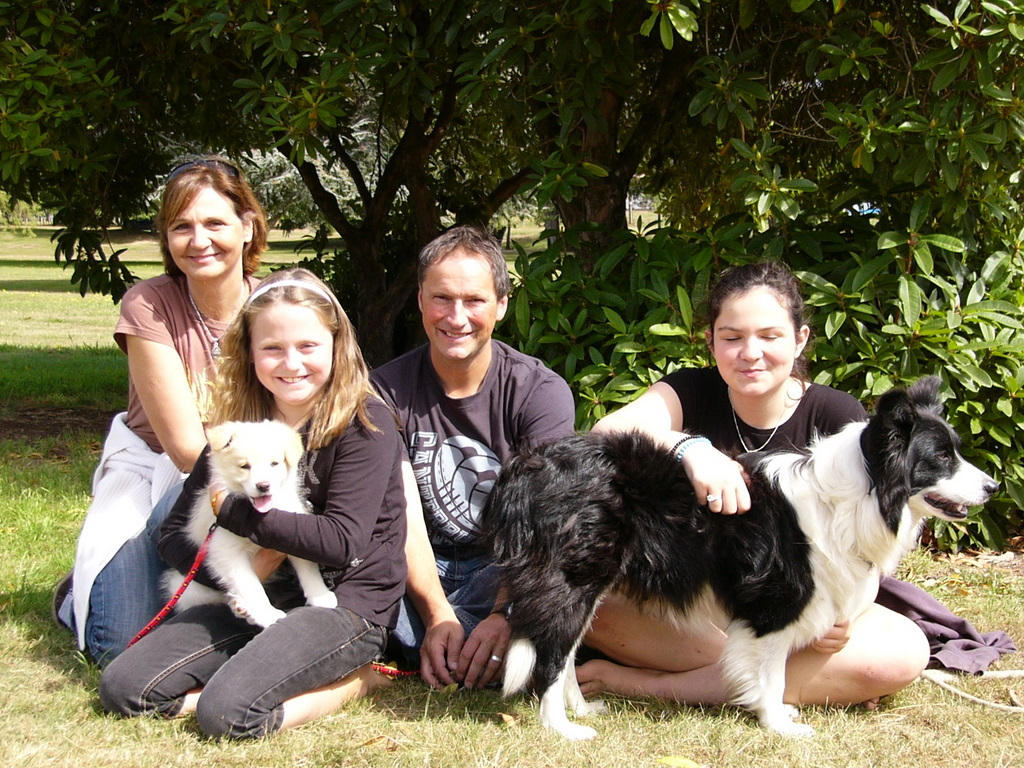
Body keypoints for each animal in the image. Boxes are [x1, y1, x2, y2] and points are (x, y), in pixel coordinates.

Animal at [162, 420, 338, 628]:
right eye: (244, 466)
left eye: (274, 463)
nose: (263, 486)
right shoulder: (225, 550)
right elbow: (250, 585)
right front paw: (266, 614)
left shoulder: (295, 532)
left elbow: (308, 565)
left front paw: (320, 595)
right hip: (187, 588)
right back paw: (242, 607)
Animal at [482, 377, 998, 739]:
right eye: (941, 458)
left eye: (955, 451)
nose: (994, 487)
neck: (853, 494)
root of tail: (531, 465)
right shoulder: (773, 605)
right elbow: (773, 673)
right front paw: (779, 725)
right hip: (573, 580)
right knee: (551, 656)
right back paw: (563, 729)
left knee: (565, 652)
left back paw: (582, 708)